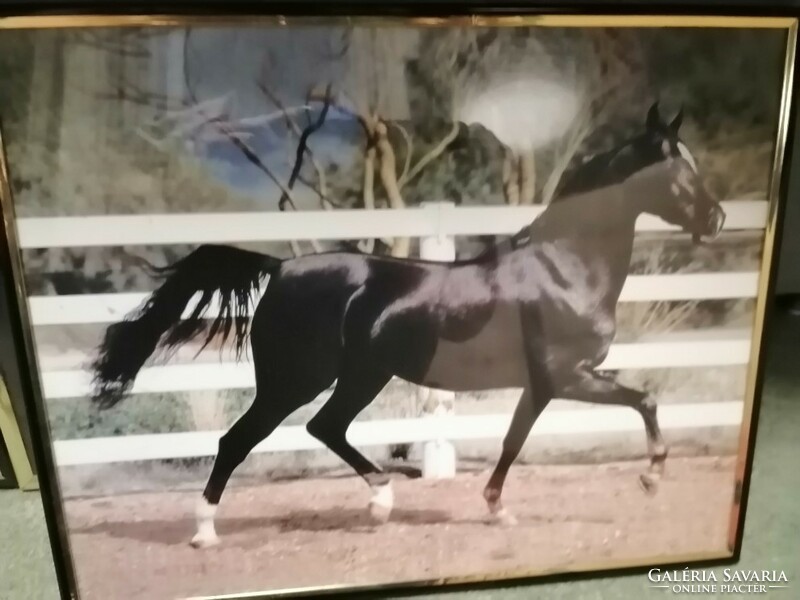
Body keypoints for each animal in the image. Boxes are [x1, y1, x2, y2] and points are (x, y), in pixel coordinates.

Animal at [89, 103, 724, 548]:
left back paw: (381, 501)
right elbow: (642, 400)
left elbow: (518, 439)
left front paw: (498, 508)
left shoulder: (542, 385)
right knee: (239, 440)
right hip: (296, 380)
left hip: (359, 377)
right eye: (675, 168)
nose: (716, 218)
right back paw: (206, 531)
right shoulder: (564, 377)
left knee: (325, 428)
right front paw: (650, 478)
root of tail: (282, 267)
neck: (562, 265)